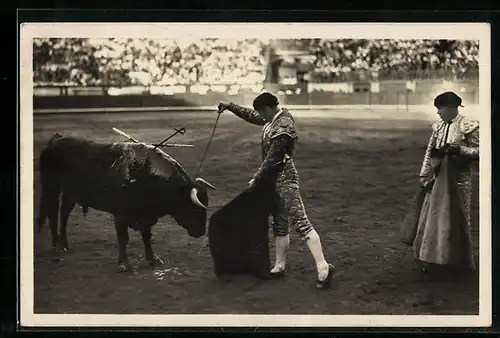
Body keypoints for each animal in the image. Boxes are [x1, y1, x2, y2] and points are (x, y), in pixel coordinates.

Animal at [37, 133, 217, 270]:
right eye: (194, 207)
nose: (201, 232)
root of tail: (54, 141)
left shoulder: (145, 216)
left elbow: (146, 236)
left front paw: (153, 259)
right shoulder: (121, 215)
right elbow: (124, 238)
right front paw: (124, 264)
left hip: (71, 193)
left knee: (64, 213)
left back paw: (63, 244)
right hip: (51, 187)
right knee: (51, 211)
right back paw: (57, 245)